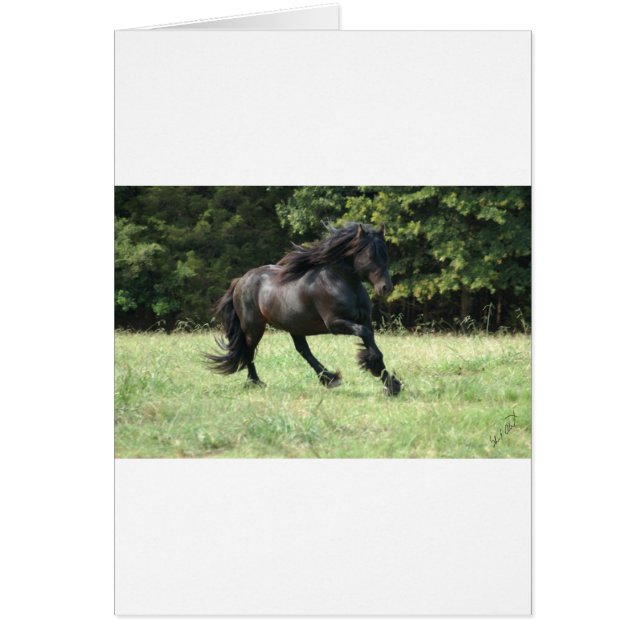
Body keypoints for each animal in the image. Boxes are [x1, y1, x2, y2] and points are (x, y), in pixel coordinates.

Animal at [204, 223, 402, 395]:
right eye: (370, 255)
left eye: (386, 254)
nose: (386, 287)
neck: (339, 282)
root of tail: (241, 280)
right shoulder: (335, 324)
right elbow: (366, 337)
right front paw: (380, 373)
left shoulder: (365, 321)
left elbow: (372, 344)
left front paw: (391, 384)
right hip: (254, 328)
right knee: (248, 351)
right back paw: (256, 382)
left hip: (294, 326)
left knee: (302, 350)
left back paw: (330, 379)